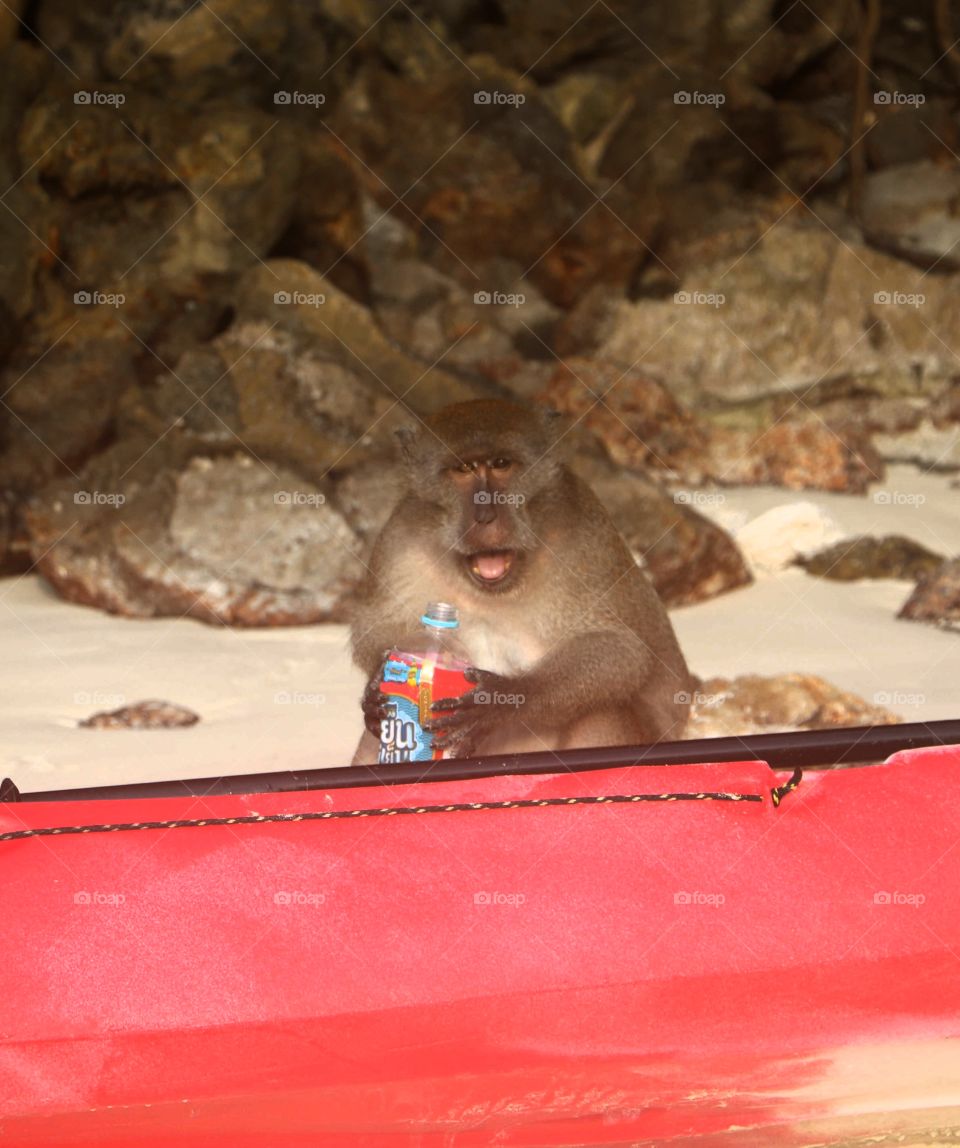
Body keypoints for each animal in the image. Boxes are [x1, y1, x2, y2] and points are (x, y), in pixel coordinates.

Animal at [350, 399, 692, 764]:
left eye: (501, 464)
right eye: (464, 469)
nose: (485, 515)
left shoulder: (584, 532)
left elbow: (620, 650)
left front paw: (501, 699)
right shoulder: (400, 537)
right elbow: (376, 628)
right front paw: (376, 686)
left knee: (601, 711)